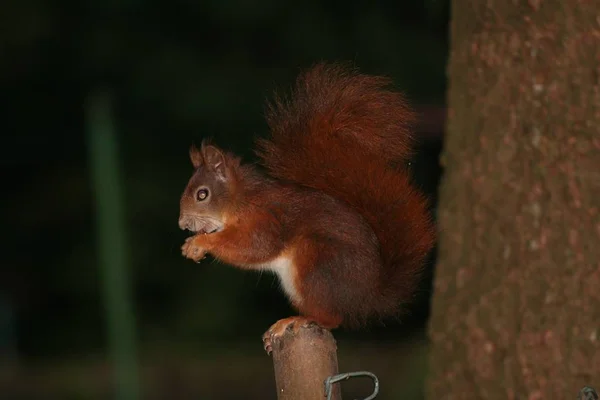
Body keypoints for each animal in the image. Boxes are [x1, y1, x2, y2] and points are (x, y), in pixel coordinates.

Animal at [178, 62, 436, 354]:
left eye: (202, 194)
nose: (182, 224)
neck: (241, 200)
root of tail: (368, 297)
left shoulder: (267, 217)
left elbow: (255, 246)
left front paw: (201, 243)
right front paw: (193, 243)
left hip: (316, 263)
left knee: (331, 319)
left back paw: (296, 320)